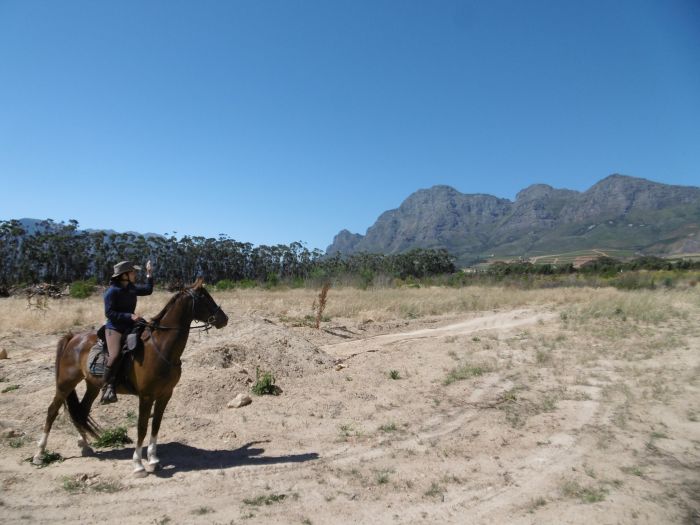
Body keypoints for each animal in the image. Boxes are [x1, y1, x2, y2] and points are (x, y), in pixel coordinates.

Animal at [32, 278, 227, 474]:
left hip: (92, 385)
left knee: (82, 411)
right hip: (65, 384)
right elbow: (142, 426)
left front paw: (153, 459)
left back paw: (85, 445)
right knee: (52, 411)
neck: (160, 348)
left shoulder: (165, 394)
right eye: (204, 298)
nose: (224, 319)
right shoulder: (146, 396)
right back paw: (39, 454)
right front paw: (138, 464)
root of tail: (72, 337)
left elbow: (156, 424)